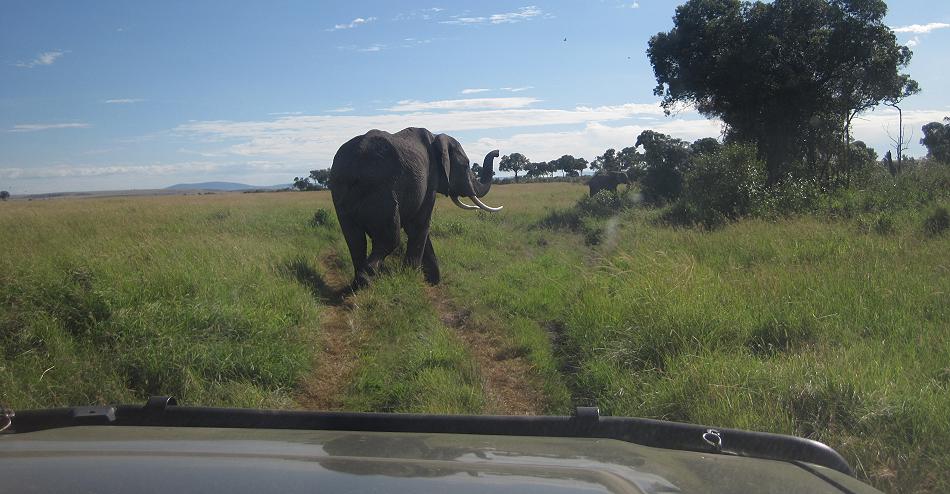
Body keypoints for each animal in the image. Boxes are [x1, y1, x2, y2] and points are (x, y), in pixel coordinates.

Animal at [330, 127, 502, 290]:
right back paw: (365, 281)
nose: (498, 152)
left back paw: (357, 283)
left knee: (355, 239)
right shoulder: (430, 180)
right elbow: (419, 226)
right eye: (466, 165)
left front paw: (433, 281)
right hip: (381, 189)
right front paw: (410, 278)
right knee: (389, 239)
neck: (437, 137)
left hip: (341, 192)